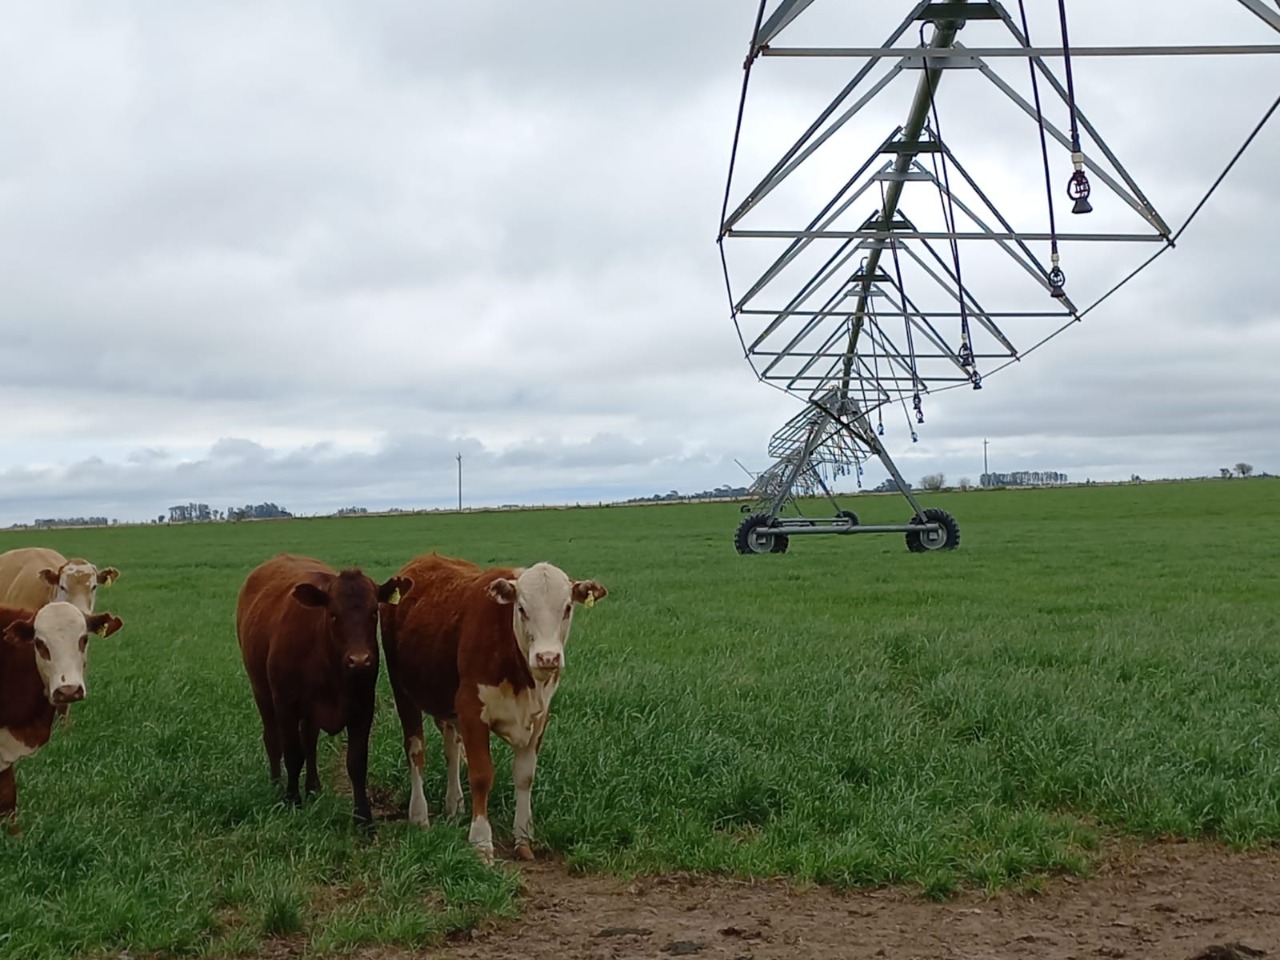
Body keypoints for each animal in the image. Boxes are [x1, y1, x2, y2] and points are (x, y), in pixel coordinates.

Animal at [232, 555, 407, 829]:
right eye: (333, 614)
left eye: (374, 612)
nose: (359, 660)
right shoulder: (285, 705)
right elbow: (293, 754)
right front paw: (292, 801)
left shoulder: (363, 707)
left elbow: (356, 762)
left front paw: (363, 818)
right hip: (261, 691)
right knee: (273, 740)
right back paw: (276, 786)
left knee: (309, 741)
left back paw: (313, 788)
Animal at [376, 555, 606, 865]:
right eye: (521, 608)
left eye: (567, 607)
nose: (547, 657)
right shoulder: (472, 709)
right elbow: (481, 775)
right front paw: (481, 842)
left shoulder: (539, 717)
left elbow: (524, 776)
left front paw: (523, 838)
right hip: (402, 691)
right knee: (416, 751)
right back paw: (419, 815)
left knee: (451, 749)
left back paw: (454, 804)